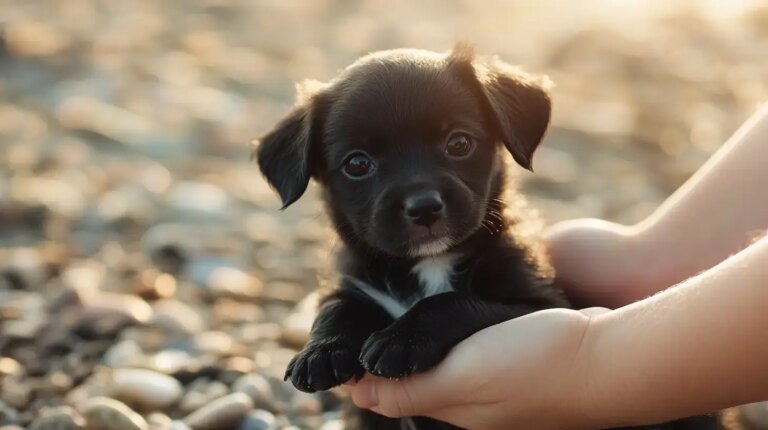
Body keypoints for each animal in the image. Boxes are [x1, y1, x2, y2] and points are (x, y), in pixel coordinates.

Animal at [256, 44, 720, 430]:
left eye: (459, 142)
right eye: (357, 164)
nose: (423, 207)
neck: (429, 264)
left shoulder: (538, 303)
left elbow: (455, 302)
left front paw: (401, 338)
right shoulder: (356, 284)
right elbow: (335, 306)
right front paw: (322, 350)